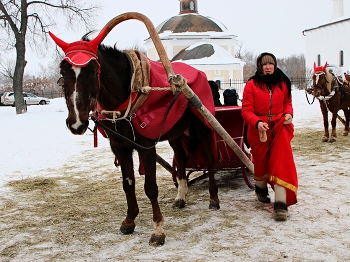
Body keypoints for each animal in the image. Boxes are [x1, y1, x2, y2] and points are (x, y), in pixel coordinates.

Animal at [49, 28, 220, 246]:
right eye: (63, 73)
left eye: (93, 71)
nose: (76, 123)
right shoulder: (119, 147)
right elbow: (128, 183)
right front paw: (130, 220)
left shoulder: (146, 146)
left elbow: (150, 187)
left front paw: (158, 230)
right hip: (175, 131)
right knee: (181, 157)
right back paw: (181, 197)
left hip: (203, 125)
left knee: (209, 159)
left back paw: (214, 198)